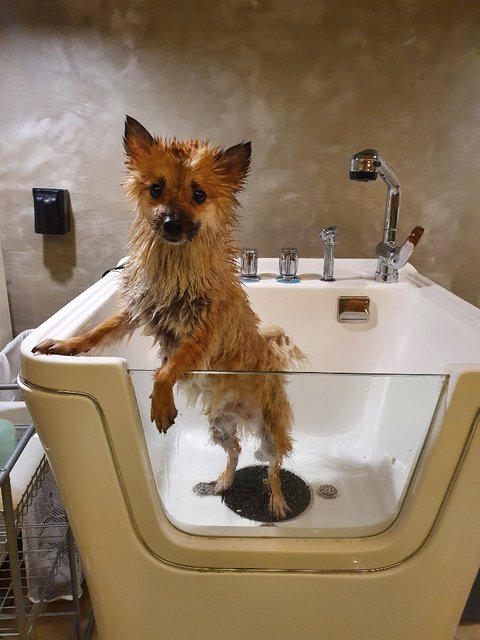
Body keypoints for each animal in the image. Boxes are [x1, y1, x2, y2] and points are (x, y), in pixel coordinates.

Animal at [33, 116, 305, 519]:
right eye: (156, 189)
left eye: (199, 195)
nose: (171, 224)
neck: (174, 268)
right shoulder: (139, 310)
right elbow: (99, 331)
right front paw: (66, 344)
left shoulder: (203, 334)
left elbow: (166, 369)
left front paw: (160, 403)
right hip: (220, 427)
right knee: (236, 451)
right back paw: (223, 482)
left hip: (271, 432)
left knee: (273, 467)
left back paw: (277, 501)